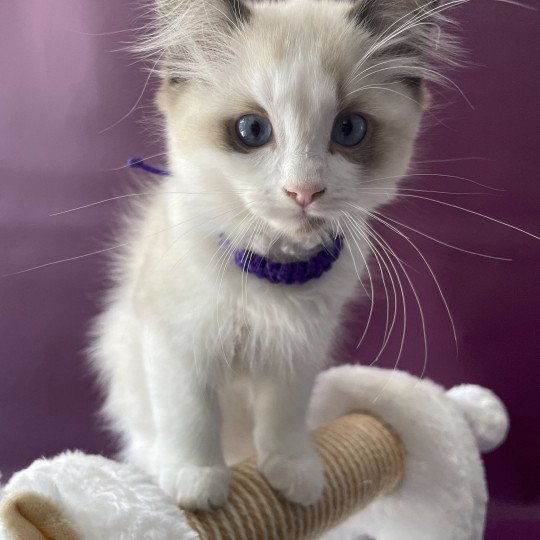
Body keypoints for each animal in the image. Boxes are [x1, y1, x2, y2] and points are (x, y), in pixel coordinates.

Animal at [90, 0, 458, 510]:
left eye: (349, 129)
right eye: (252, 130)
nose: (304, 191)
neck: (275, 273)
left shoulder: (299, 349)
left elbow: (284, 415)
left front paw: (292, 473)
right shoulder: (177, 344)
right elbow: (191, 417)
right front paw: (198, 483)